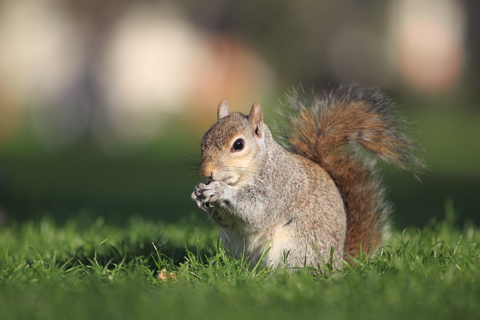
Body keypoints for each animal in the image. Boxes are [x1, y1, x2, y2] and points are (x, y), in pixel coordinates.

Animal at [190, 85, 424, 270]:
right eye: (204, 140)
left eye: (238, 144)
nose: (206, 172)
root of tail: (338, 263)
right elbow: (227, 221)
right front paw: (199, 192)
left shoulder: (279, 185)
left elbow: (257, 210)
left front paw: (219, 191)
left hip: (295, 247)